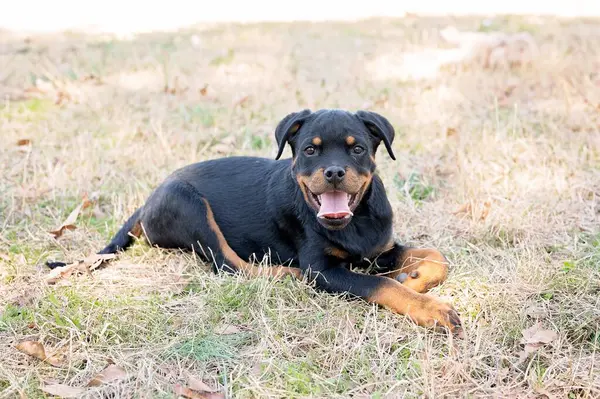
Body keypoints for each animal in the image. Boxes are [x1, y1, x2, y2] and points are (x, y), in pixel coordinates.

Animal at [76, 109, 460, 334]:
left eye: (357, 149)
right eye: (309, 150)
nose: (334, 172)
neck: (354, 223)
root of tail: (144, 205)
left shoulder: (378, 248)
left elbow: (437, 256)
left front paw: (414, 279)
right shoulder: (323, 269)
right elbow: (380, 284)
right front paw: (430, 307)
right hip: (190, 205)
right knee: (229, 265)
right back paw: (286, 274)